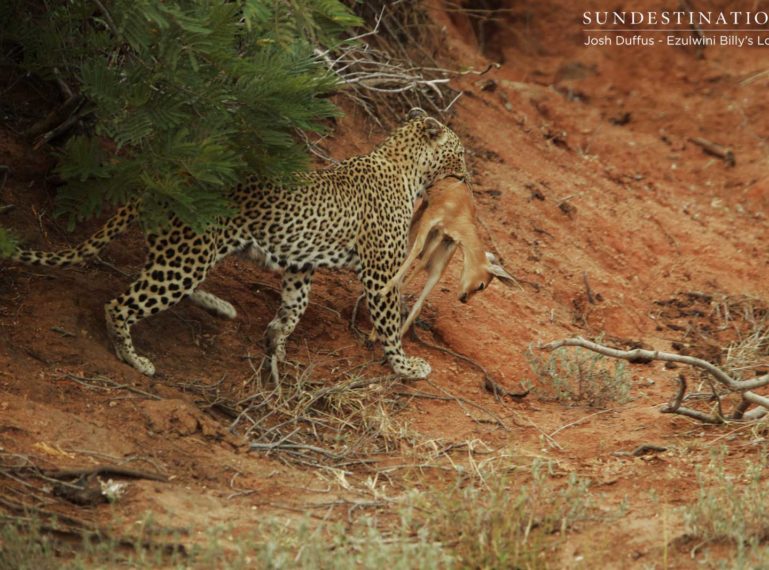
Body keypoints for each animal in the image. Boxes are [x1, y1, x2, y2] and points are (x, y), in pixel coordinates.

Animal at [9, 109, 464, 380]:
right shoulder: (380, 273)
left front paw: (276, 342)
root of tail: (167, 179)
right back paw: (134, 358)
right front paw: (405, 366)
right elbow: (389, 322)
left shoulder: (301, 265)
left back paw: (221, 307)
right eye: (459, 153)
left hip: (187, 254)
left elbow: (295, 306)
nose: (468, 175)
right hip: (186, 257)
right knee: (121, 304)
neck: (406, 169)